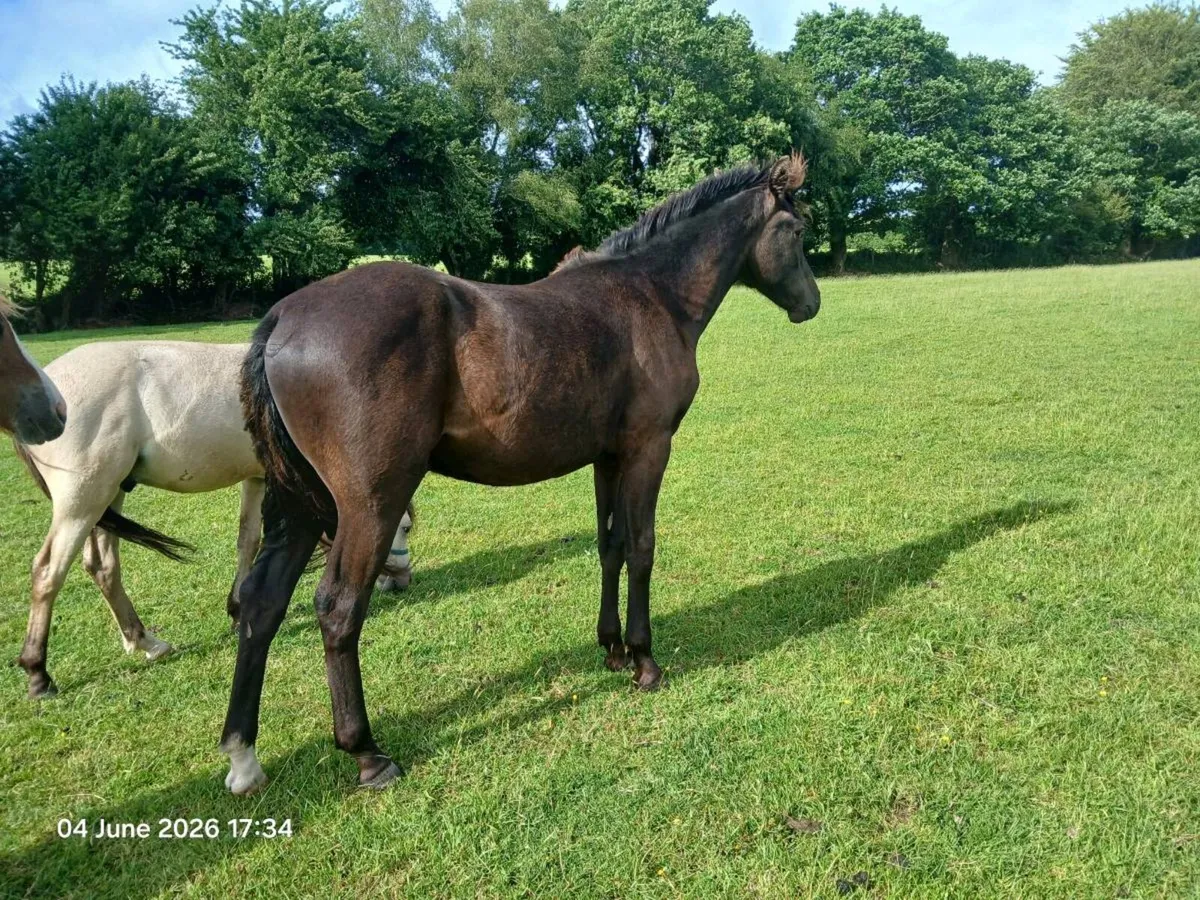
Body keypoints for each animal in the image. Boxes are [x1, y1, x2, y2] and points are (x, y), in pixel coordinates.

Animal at [11, 340, 414, 699]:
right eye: (406, 528)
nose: (402, 581)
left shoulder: (257, 478)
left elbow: (247, 540)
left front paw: (236, 611)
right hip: (83, 500)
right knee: (48, 572)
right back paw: (38, 674)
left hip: (108, 496)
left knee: (102, 566)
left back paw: (144, 641)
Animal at [220, 154, 820, 794]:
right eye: (796, 230)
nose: (811, 303)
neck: (650, 296)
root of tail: (282, 317)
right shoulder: (647, 450)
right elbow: (641, 548)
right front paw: (644, 660)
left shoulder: (607, 457)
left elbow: (610, 547)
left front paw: (611, 650)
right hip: (369, 505)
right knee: (337, 609)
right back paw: (367, 753)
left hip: (302, 502)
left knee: (262, 603)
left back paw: (243, 755)